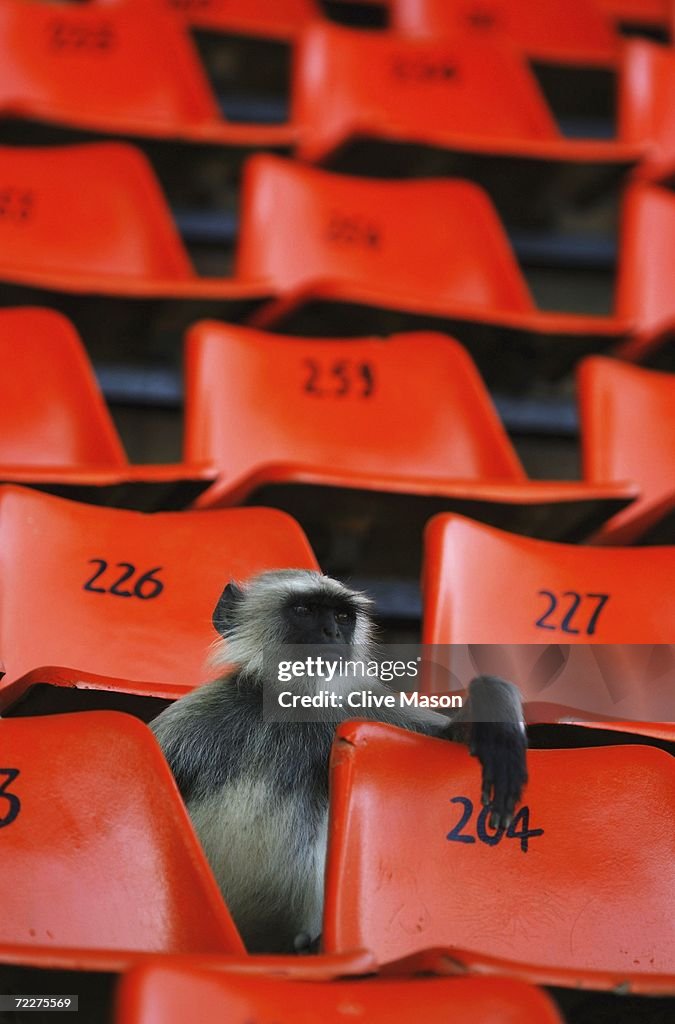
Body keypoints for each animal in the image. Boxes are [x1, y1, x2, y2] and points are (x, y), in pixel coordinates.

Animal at [153, 569, 528, 950]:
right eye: (304, 610)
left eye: (343, 616)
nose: (331, 632)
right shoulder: (196, 717)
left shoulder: (356, 709)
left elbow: (451, 736)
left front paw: (498, 726)